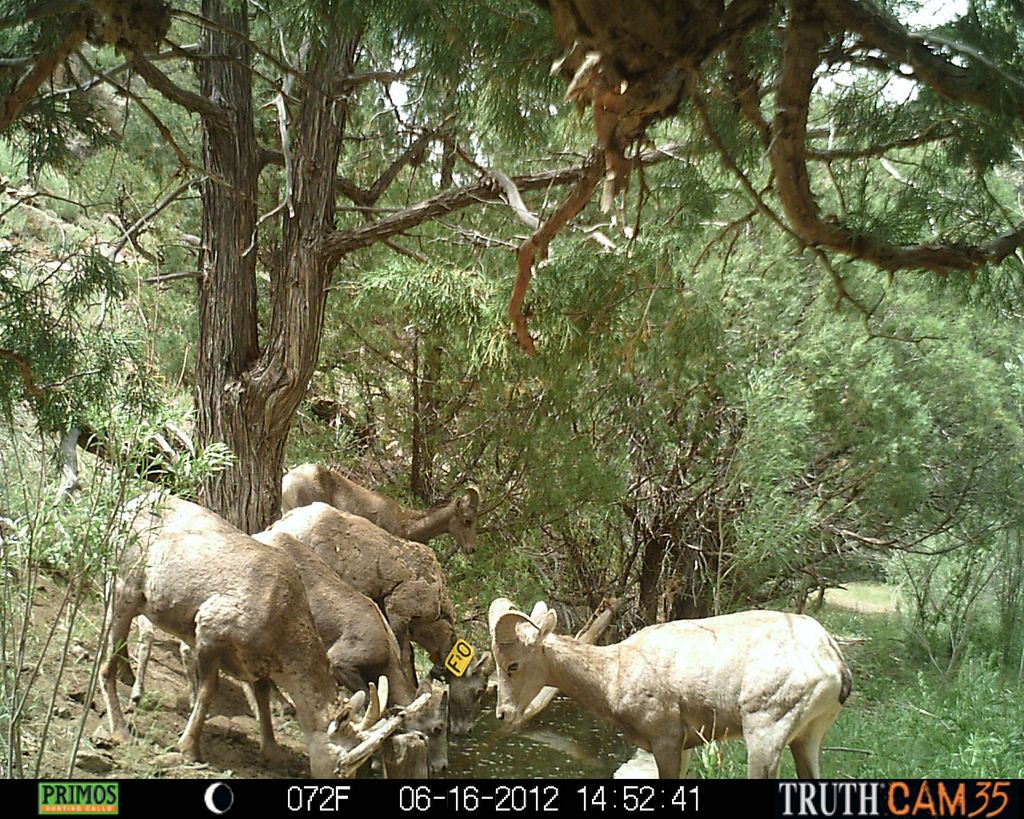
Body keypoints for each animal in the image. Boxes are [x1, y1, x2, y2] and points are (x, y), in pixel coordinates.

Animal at [103, 495, 419, 778]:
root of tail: (128, 506)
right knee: (108, 664)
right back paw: (120, 731)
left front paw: (272, 753)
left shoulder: (257, 665)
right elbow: (208, 691)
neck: (281, 614)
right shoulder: (209, 629)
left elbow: (263, 699)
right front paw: (189, 748)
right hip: (126, 591)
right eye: (343, 763)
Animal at [485, 597, 847, 778]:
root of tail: (832, 659)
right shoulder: (684, 747)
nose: (503, 713)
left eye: (513, 665)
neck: (613, 673)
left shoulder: (666, 741)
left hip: (765, 734)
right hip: (807, 737)